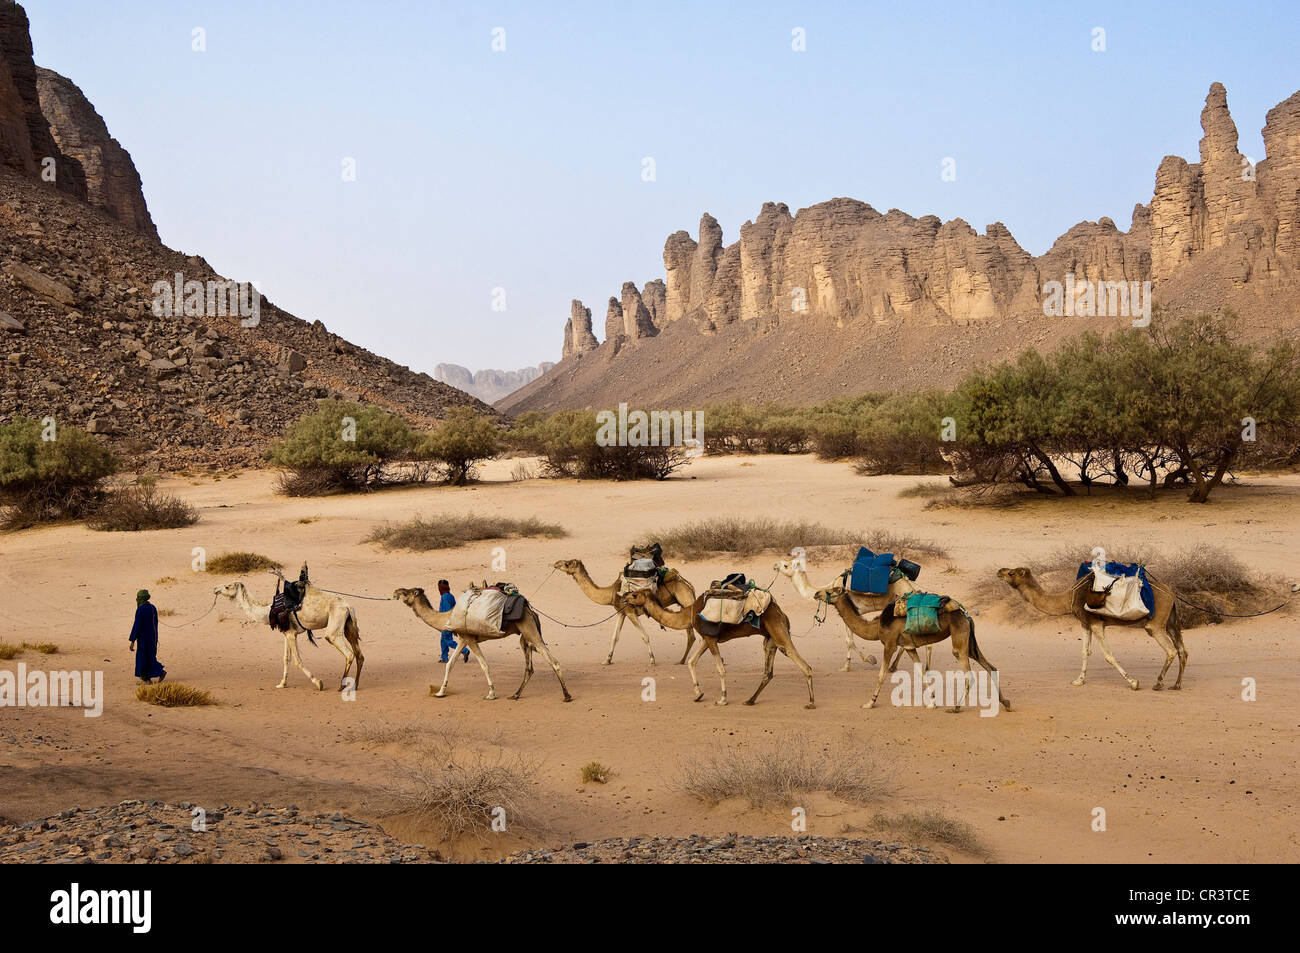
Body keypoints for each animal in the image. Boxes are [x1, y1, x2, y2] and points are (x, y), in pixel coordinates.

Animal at [392, 582, 572, 702]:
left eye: (409, 591)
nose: (396, 591)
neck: (447, 617)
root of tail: (530, 611)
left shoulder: (469, 639)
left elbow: (484, 664)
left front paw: (491, 694)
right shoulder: (464, 638)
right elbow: (450, 664)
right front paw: (440, 692)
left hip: (529, 630)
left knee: (553, 661)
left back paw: (567, 695)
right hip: (525, 636)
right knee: (529, 667)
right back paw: (515, 694)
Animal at [551, 556, 696, 660]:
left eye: (567, 564)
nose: (556, 563)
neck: (611, 593)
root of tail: (686, 583)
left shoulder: (630, 612)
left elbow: (645, 636)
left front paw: (652, 660)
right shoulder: (621, 613)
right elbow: (615, 637)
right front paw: (607, 660)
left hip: (685, 598)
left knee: (691, 634)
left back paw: (683, 660)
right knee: (690, 634)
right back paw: (683, 660)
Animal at [618, 587, 811, 707]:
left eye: (635, 595)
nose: (624, 598)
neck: (689, 614)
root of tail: (782, 613)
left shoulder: (710, 638)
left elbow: (720, 668)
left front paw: (722, 699)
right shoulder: (707, 638)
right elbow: (691, 662)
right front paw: (698, 694)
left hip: (778, 631)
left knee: (801, 662)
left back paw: (810, 702)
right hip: (769, 639)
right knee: (768, 672)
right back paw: (750, 700)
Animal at [816, 582, 1008, 712]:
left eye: (830, 591)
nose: (816, 593)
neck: (877, 626)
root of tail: (966, 614)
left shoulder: (890, 644)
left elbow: (881, 675)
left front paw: (870, 702)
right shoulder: (909, 648)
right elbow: (921, 673)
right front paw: (932, 702)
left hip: (959, 638)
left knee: (969, 673)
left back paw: (956, 707)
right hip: (969, 640)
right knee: (990, 667)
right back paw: (1006, 703)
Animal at [993, 564, 1190, 691]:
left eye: (1011, 573)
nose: (999, 571)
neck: (1070, 598)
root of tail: (1171, 594)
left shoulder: (1096, 623)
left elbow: (1108, 655)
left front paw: (1134, 683)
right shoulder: (1085, 622)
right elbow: (1084, 652)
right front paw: (1078, 681)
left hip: (1155, 625)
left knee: (1171, 650)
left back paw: (1158, 684)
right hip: (1170, 622)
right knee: (1182, 650)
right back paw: (1177, 685)